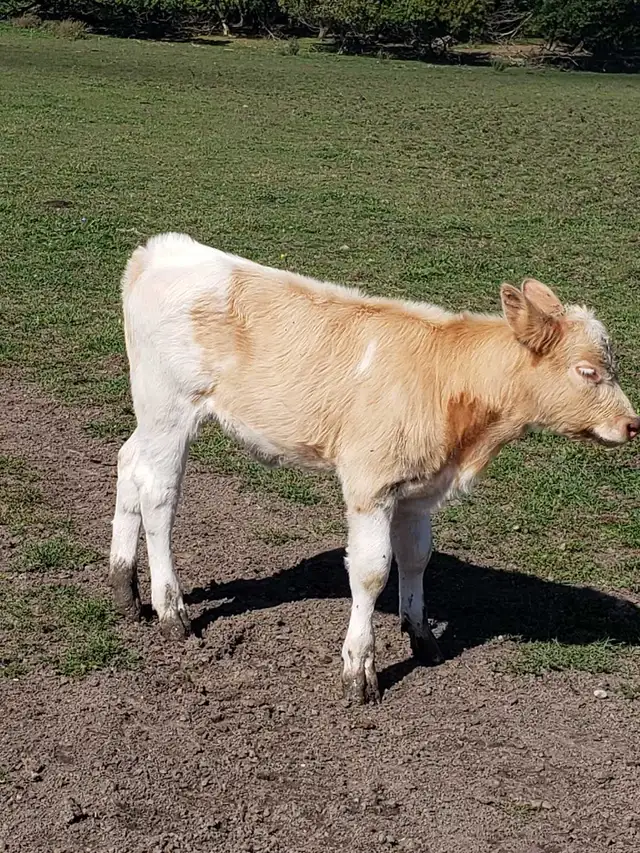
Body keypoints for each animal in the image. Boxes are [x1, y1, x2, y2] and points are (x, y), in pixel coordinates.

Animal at [109, 233, 639, 704]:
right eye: (588, 371)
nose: (632, 424)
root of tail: (161, 249)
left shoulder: (420, 489)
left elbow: (417, 557)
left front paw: (421, 635)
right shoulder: (371, 483)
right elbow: (371, 570)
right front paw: (359, 669)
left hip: (152, 416)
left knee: (129, 463)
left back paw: (123, 589)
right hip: (171, 409)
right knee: (158, 494)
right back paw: (170, 610)